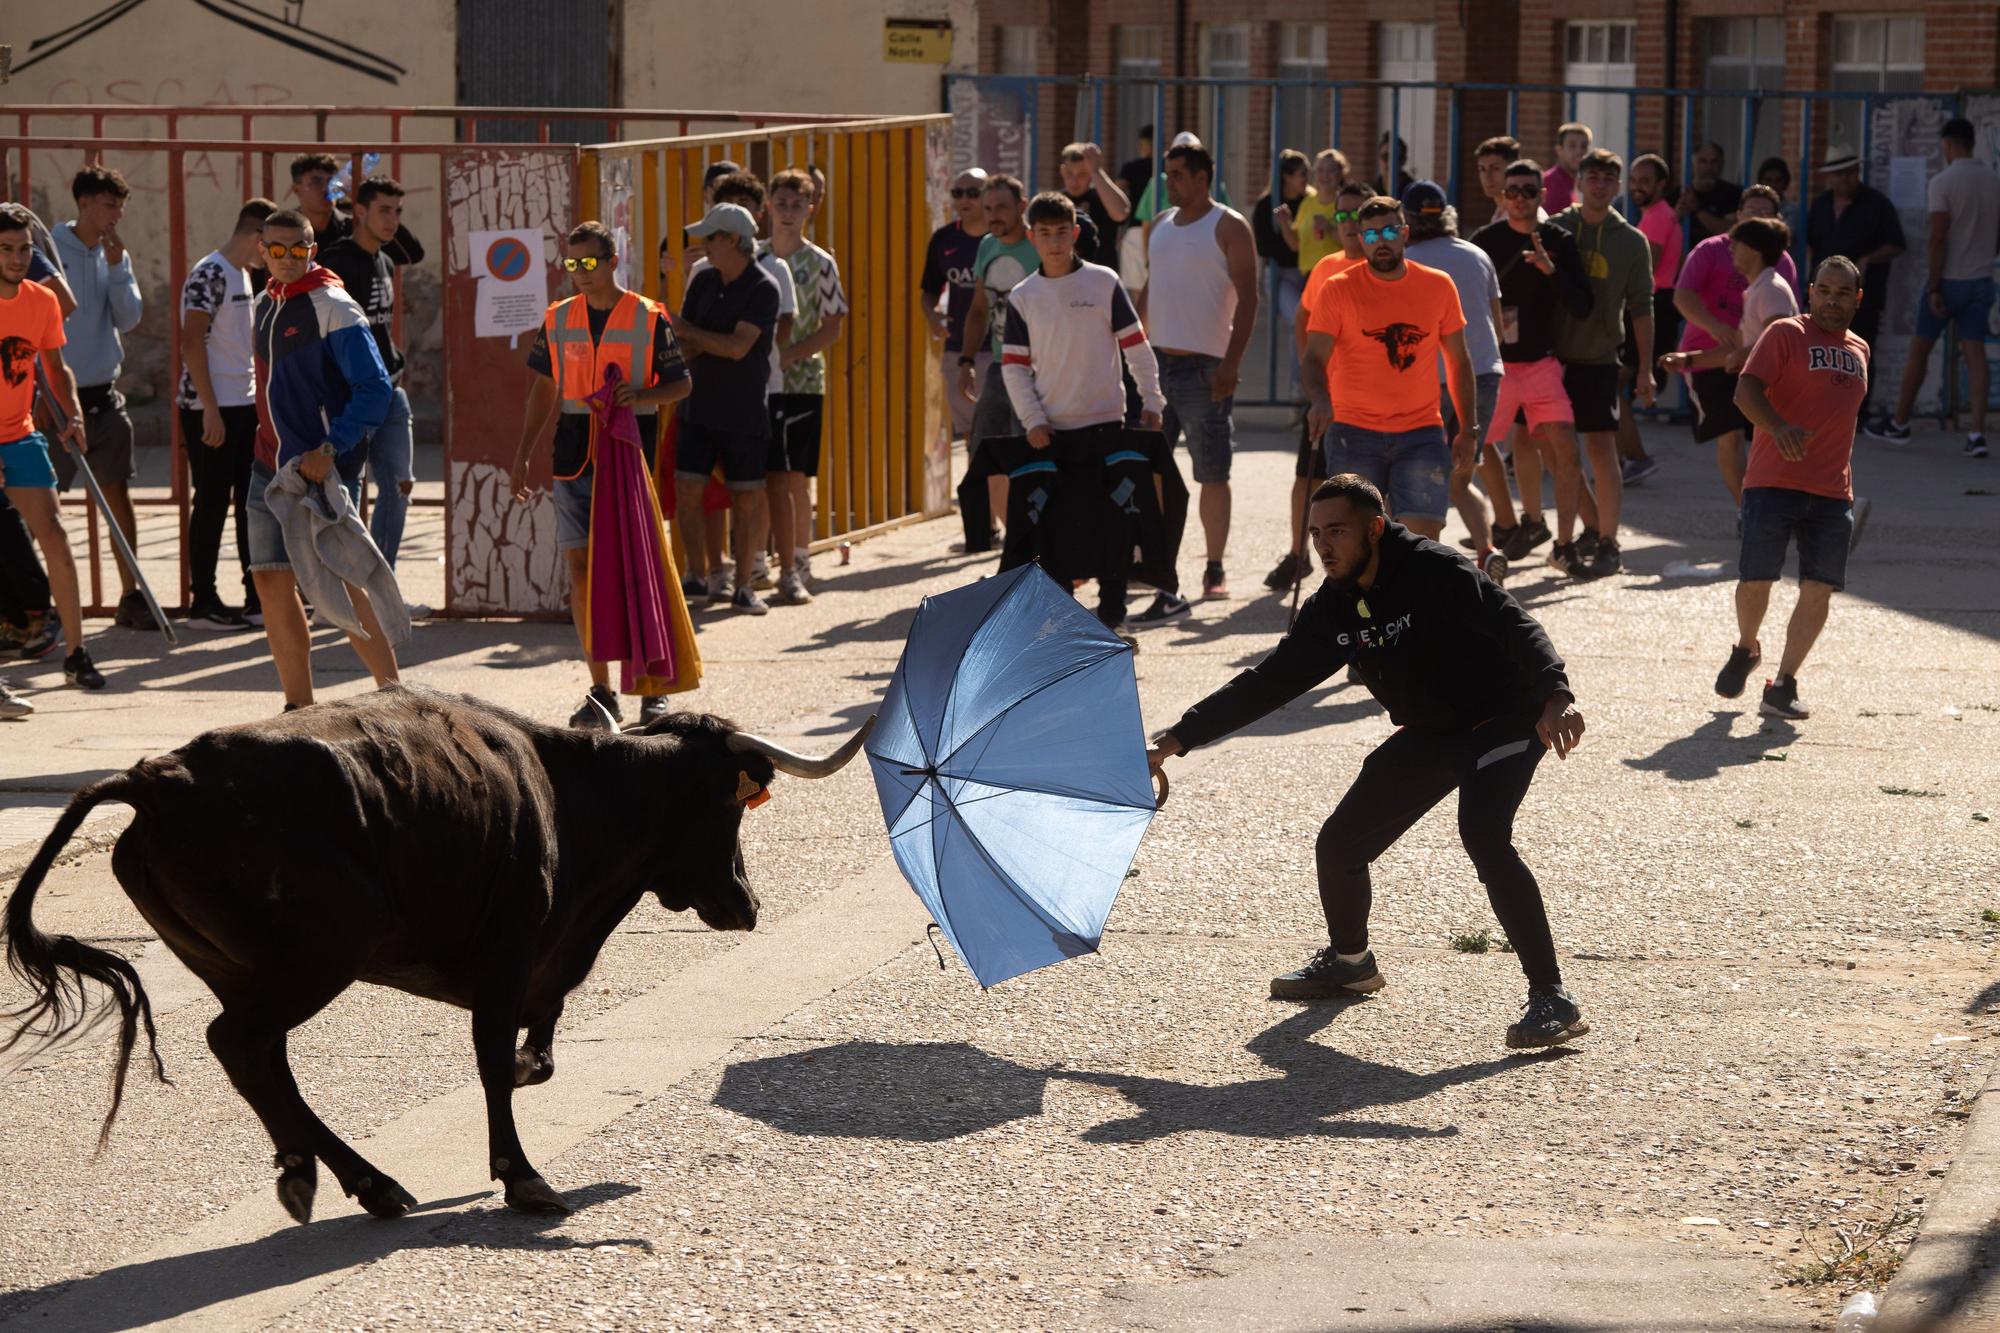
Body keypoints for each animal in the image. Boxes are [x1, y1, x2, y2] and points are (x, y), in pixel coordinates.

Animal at [1, 684, 876, 1216]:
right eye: (732, 804)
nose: (747, 904)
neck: (570, 797)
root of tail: (160, 777)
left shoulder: (536, 964)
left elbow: (536, 1046)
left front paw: (527, 1082)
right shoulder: (510, 949)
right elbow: (494, 1060)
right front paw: (522, 1174)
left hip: (237, 966)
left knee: (259, 1059)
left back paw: (339, 1176)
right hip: (322, 953)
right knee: (242, 1044)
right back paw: (345, 1176)